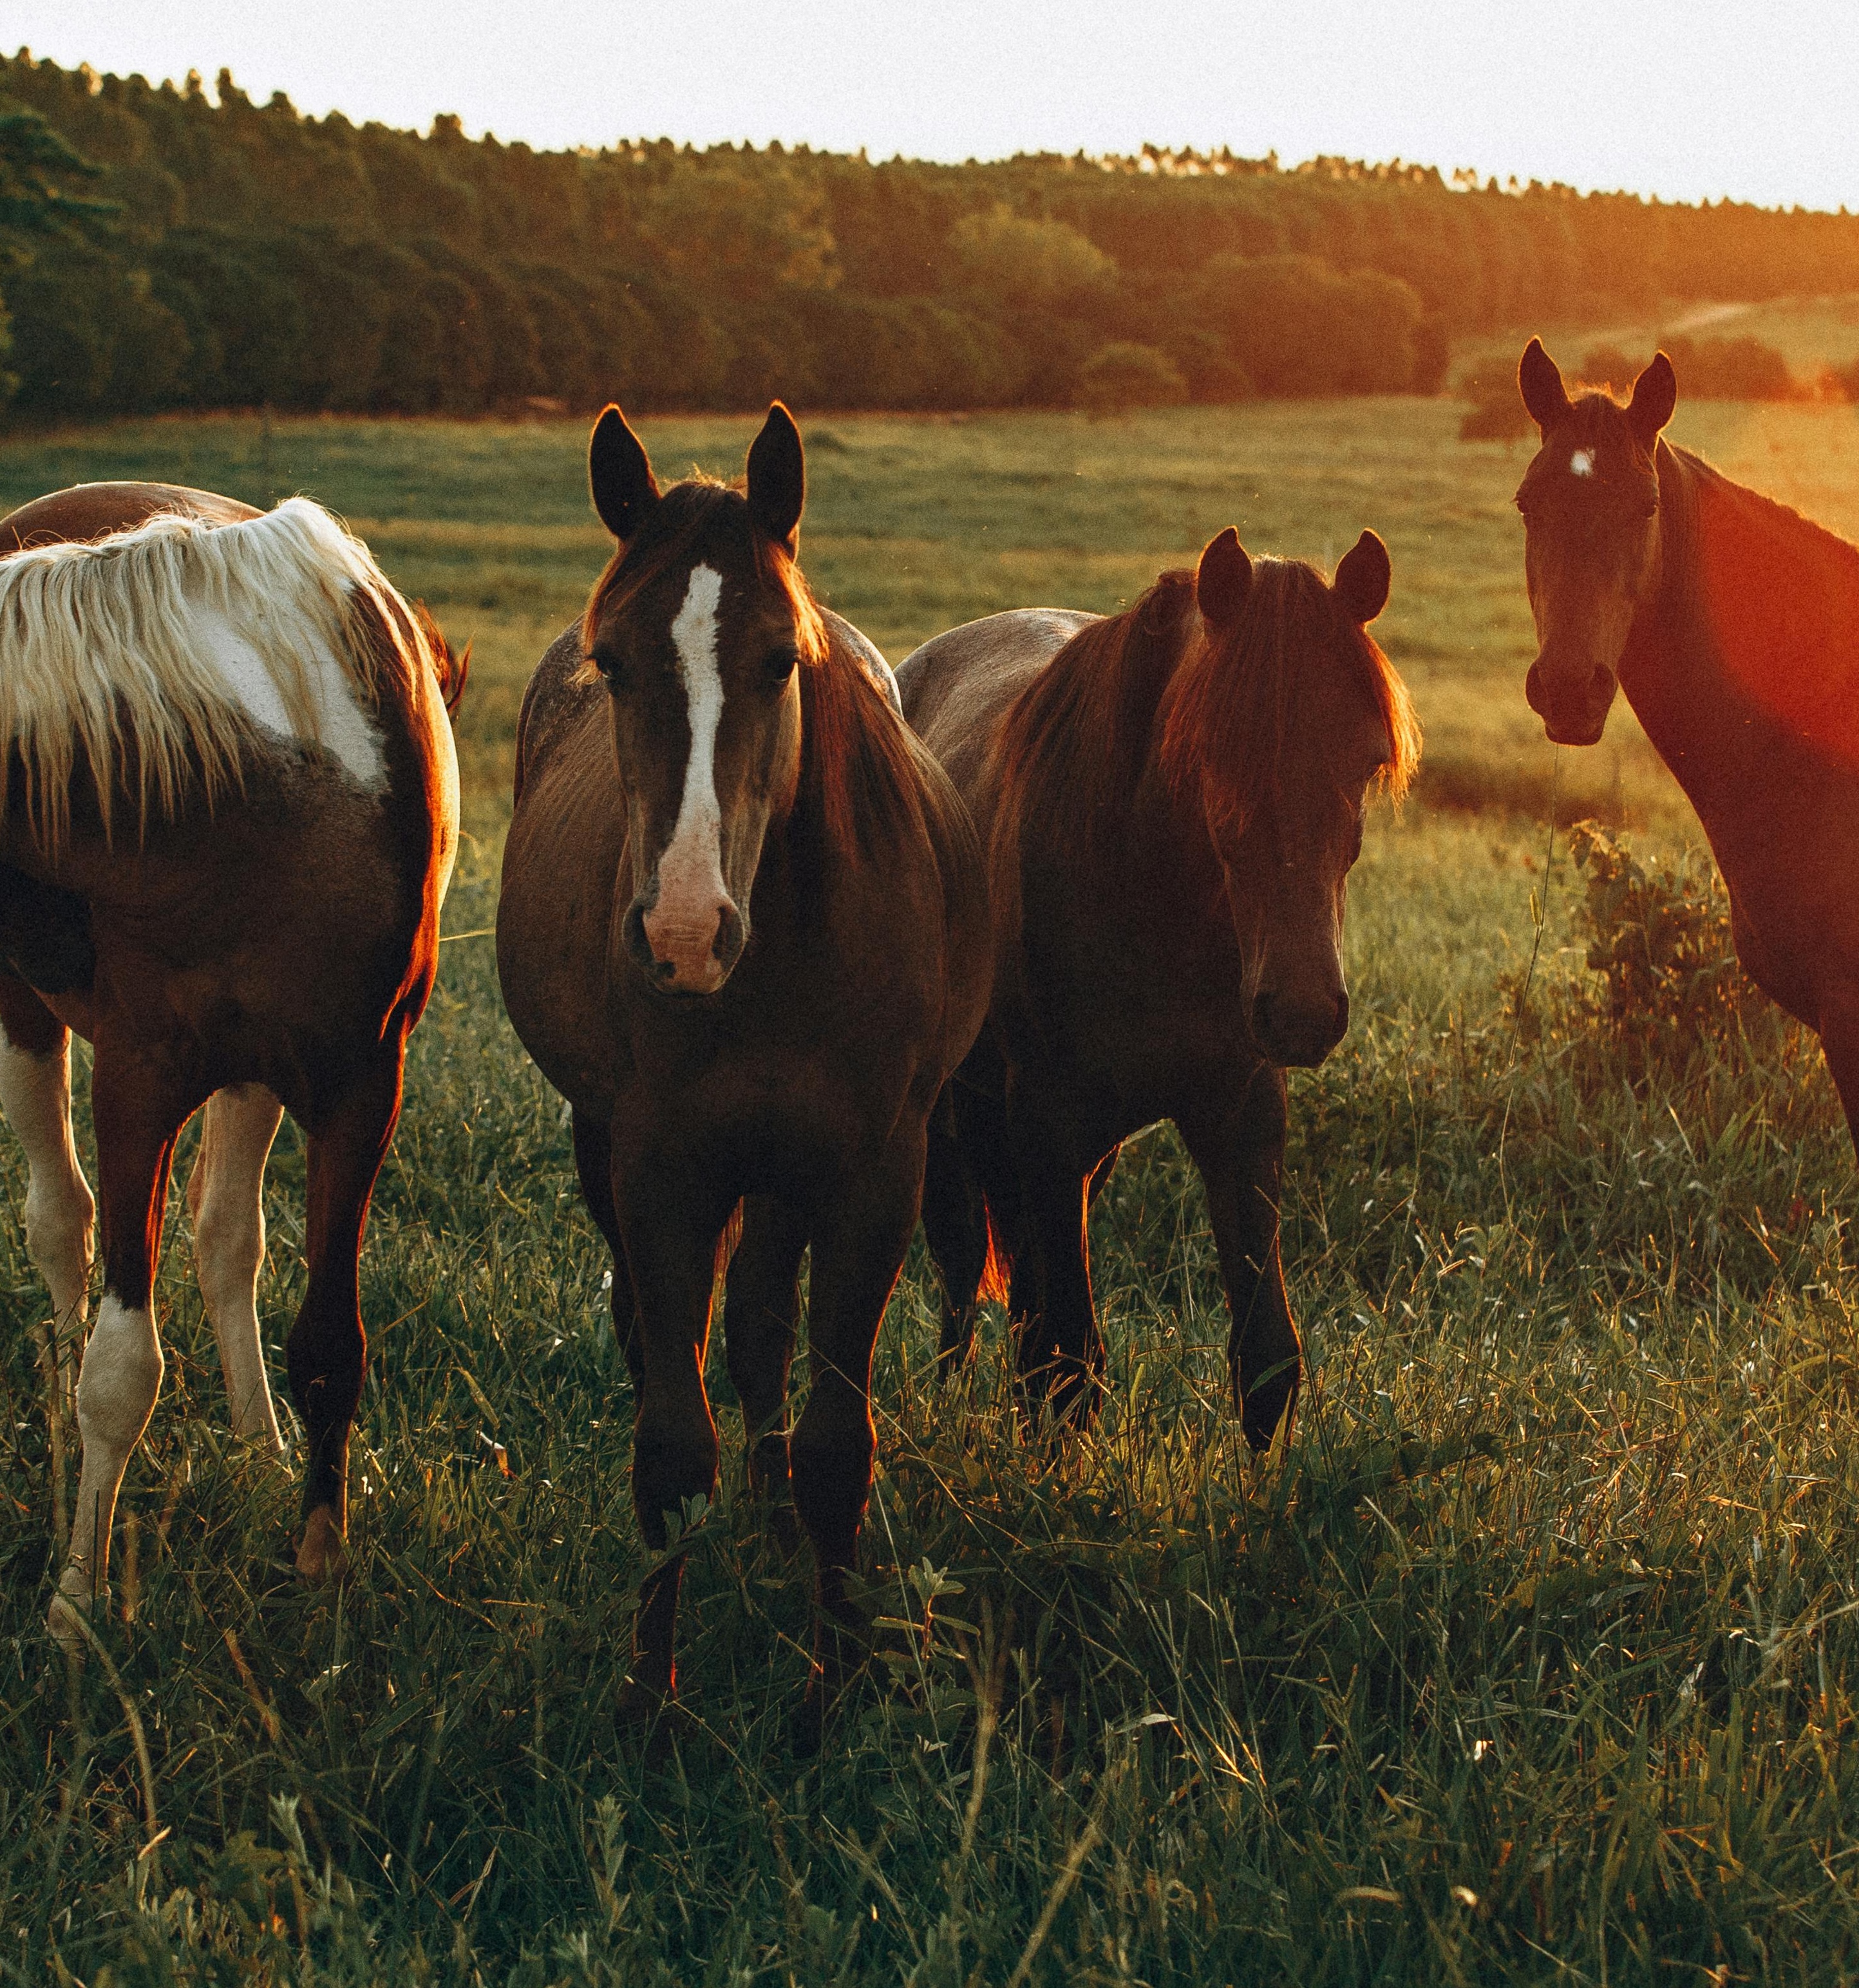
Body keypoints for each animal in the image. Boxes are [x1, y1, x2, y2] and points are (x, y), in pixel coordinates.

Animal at [0, 482, 464, 1641]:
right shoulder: (136, 1085)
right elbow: (122, 1367)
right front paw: (78, 1601)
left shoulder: (358, 1086)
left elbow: (331, 1344)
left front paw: (321, 1568)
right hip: (29, 1015)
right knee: (60, 1224)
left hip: (252, 1071)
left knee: (221, 1244)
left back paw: (258, 1447)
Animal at [496, 404, 990, 1726]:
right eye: (614, 663)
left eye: (779, 660)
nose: (681, 932)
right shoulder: (661, 1169)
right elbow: (671, 1447)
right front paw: (647, 1698)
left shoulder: (874, 1176)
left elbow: (833, 1444)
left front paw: (838, 1683)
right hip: (614, 1149)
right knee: (664, 1335)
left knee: (765, 1327)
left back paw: (772, 1530)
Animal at [899, 527, 1418, 1442]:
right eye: (1214, 753)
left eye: (1366, 760)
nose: (1302, 1013)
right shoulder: (1047, 1117)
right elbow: (1068, 1361)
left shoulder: (1239, 1114)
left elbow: (1266, 1359)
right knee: (963, 1270)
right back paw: (944, 1403)